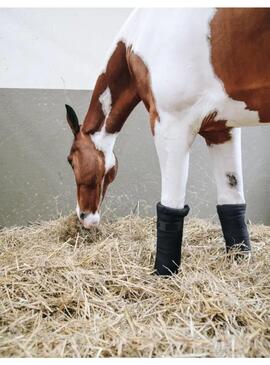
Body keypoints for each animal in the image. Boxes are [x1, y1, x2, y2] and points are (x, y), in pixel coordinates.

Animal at [65, 8, 270, 274]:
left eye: (70, 160)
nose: (84, 217)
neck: (143, 31)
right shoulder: (222, 130)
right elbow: (232, 201)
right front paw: (240, 261)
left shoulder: (171, 125)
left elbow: (170, 207)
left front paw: (163, 272)